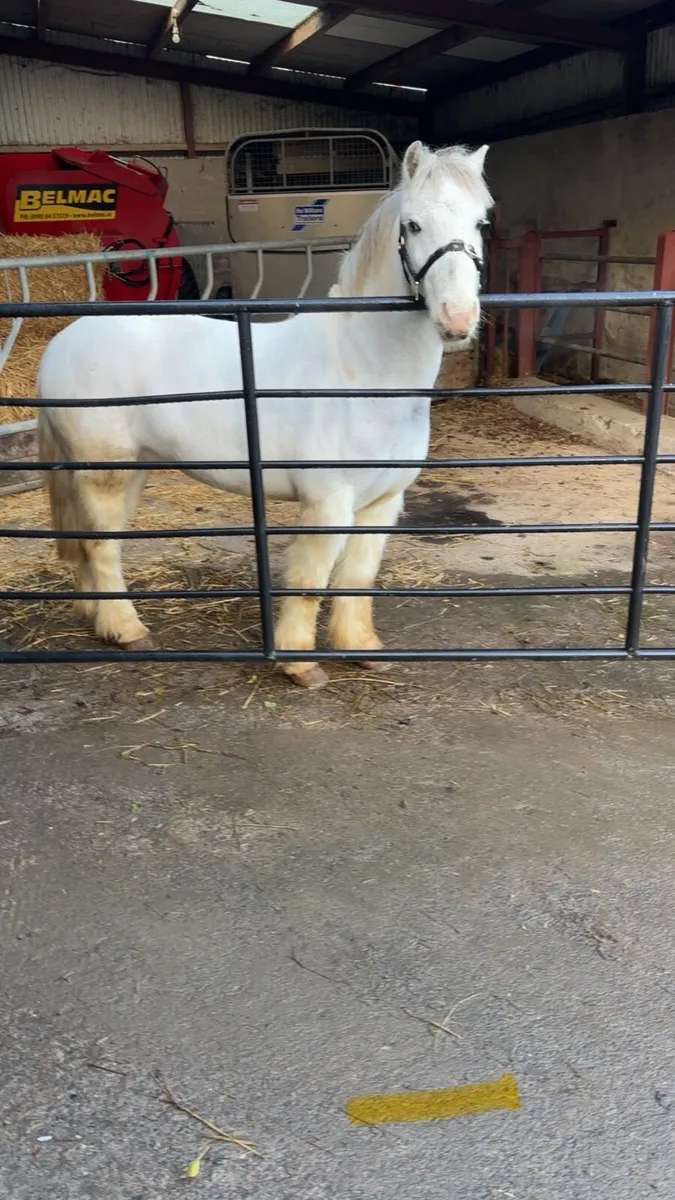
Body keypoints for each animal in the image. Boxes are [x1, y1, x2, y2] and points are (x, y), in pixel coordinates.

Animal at [37, 140, 492, 689]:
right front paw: (300, 663)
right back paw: (127, 630)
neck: (362, 367)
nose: (457, 319)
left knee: (90, 540)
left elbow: (357, 577)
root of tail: (63, 340)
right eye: (414, 225)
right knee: (103, 545)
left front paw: (362, 648)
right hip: (104, 471)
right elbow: (310, 579)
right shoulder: (327, 503)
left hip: (128, 470)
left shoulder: (382, 501)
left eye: (480, 222)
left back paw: (95, 614)